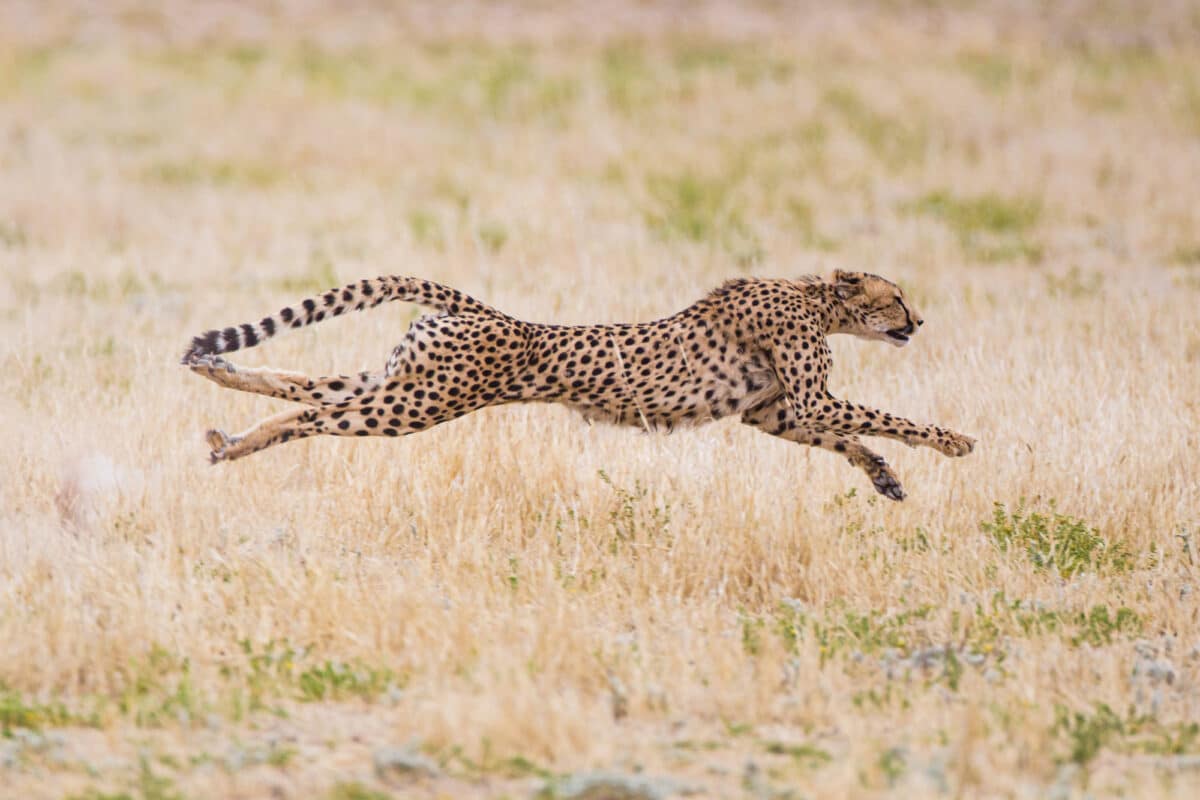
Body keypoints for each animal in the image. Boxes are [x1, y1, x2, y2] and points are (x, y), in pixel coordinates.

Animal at [184, 273, 974, 501]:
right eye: (894, 298)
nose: (919, 319)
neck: (814, 297)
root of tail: (485, 310)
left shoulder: (775, 414)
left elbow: (849, 435)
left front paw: (885, 477)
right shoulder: (804, 398)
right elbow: (884, 415)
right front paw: (955, 441)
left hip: (403, 380)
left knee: (307, 386)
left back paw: (221, 386)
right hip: (417, 402)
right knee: (317, 414)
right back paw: (232, 441)